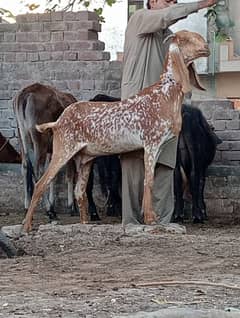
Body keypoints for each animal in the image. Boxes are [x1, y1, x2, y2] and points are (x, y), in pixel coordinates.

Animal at [13, 83, 77, 220]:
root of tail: (26, 92)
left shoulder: (52, 151)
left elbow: (53, 175)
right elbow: (69, 174)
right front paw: (71, 207)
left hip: (22, 138)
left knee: (25, 167)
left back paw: (27, 206)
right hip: (40, 140)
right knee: (38, 171)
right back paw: (49, 210)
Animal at [22, 30, 210, 231]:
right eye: (185, 39)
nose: (206, 47)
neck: (165, 94)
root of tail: (58, 122)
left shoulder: (158, 146)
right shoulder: (151, 144)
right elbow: (148, 180)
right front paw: (150, 218)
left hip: (86, 158)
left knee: (79, 190)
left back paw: (85, 222)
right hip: (63, 150)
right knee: (40, 183)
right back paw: (27, 225)